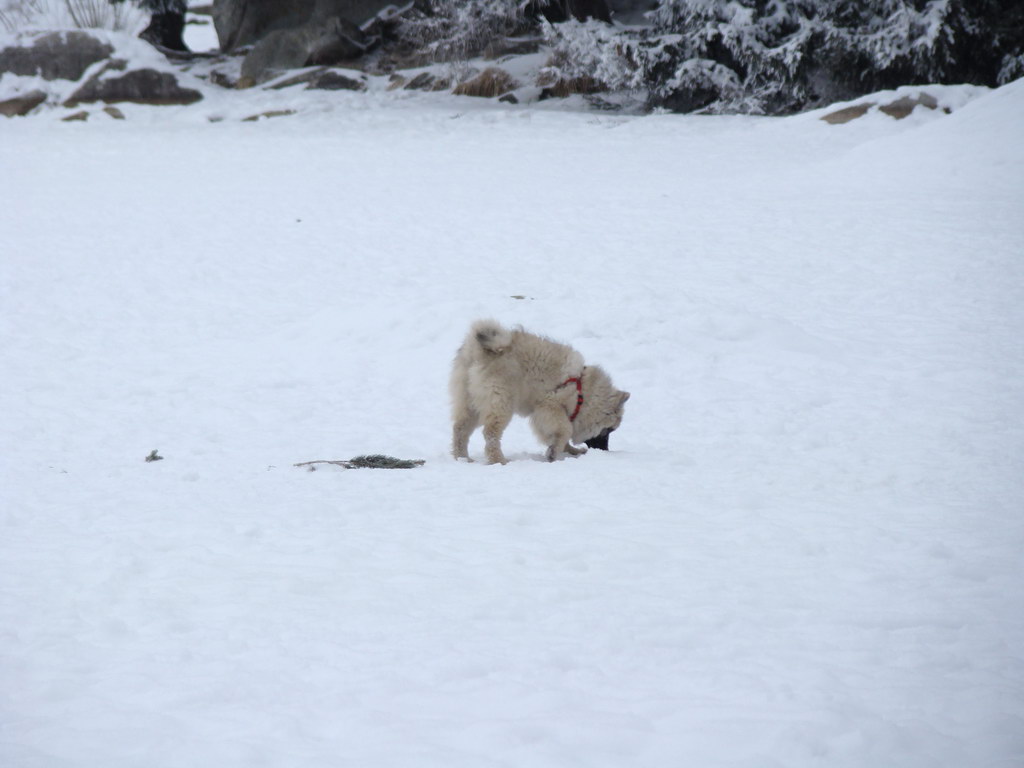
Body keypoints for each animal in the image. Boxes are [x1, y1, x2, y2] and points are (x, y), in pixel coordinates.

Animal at [452, 319, 626, 462]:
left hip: (469, 403)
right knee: (491, 433)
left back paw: (462, 458)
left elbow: (559, 436)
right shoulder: (549, 406)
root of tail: (478, 350)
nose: (605, 450)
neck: (582, 392)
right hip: (501, 402)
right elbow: (565, 430)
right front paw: (554, 453)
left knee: (460, 429)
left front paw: (569, 451)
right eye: (607, 431)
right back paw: (498, 460)